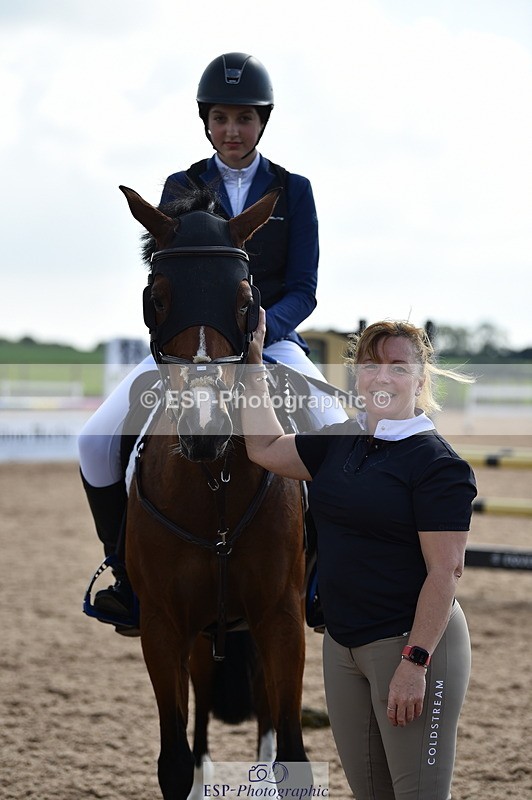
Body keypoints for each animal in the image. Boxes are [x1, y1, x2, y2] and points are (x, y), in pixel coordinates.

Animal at [119, 184, 309, 800]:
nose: (206, 428)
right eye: (158, 297)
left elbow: (293, 749)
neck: (213, 483)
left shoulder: (281, 617)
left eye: (245, 298)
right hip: (203, 630)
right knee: (202, 697)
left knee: (266, 705)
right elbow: (174, 761)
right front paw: (192, 770)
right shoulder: (162, 626)